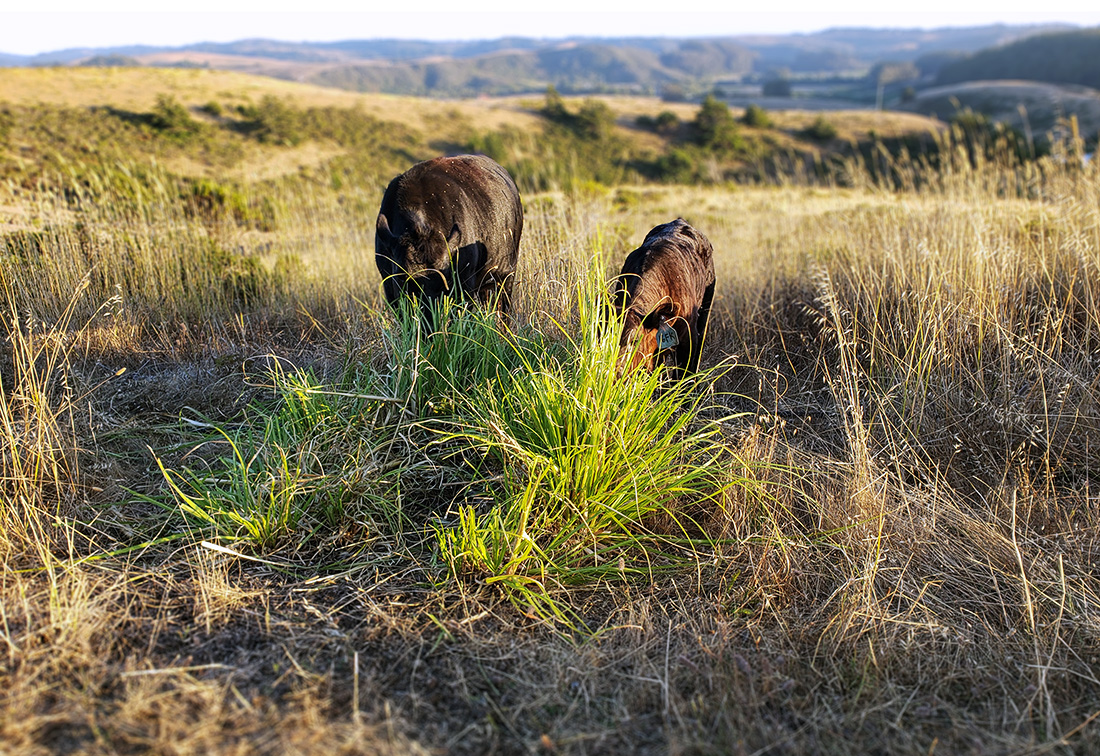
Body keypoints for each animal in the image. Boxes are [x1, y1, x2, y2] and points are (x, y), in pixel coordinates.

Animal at [374, 155, 523, 323]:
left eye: (445, 282)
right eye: (403, 279)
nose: (429, 316)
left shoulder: (464, 285)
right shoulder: (391, 289)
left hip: (506, 275)